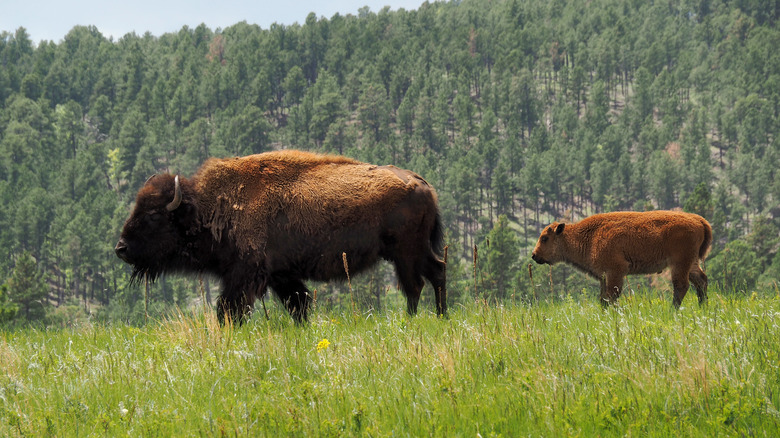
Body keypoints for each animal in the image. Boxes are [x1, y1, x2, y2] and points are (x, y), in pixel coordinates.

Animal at [112, 149, 448, 324]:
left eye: (153, 216)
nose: (120, 248)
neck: (211, 206)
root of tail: (422, 183)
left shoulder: (246, 274)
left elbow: (228, 309)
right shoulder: (281, 275)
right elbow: (299, 304)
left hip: (406, 252)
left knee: (416, 284)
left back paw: (413, 321)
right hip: (414, 252)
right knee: (436, 272)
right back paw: (439, 317)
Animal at [532, 211, 712, 308]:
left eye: (545, 238)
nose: (534, 255)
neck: (589, 236)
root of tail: (699, 220)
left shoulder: (615, 271)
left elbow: (612, 296)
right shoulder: (604, 276)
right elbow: (603, 298)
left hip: (679, 263)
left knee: (681, 286)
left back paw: (672, 310)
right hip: (691, 263)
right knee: (701, 281)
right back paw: (703, 307)